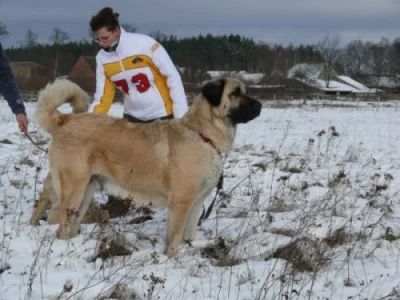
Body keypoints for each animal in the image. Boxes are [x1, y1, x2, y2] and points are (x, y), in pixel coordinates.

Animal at [32, 77, 260, 255]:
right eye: (235, 93)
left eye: (246, 91)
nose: (259, 106)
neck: (202, 134)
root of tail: (64, 119)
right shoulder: (181, 202)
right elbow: (174, 239)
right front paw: (171, 260)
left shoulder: (196, 203)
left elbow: (189, 235)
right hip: (73, 190)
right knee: (61, 227)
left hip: (86, 192)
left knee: (71, 225)